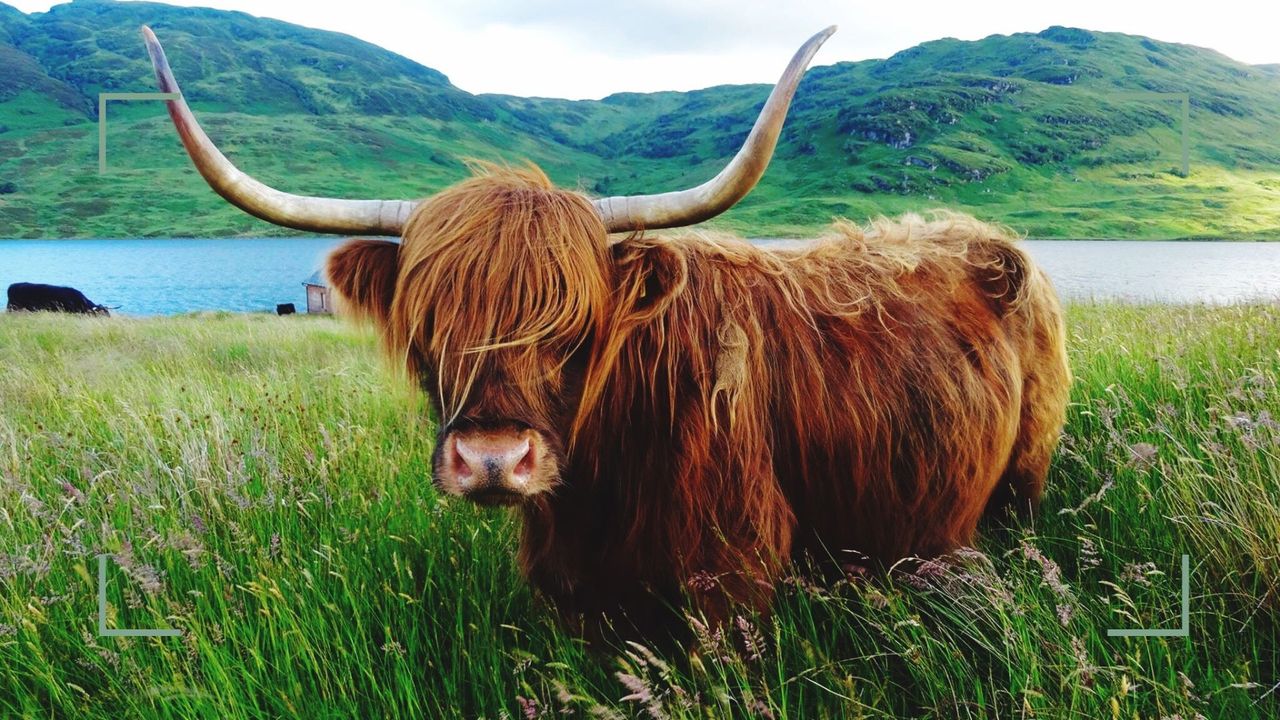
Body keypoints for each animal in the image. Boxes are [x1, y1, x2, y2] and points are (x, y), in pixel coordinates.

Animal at [140, 25, 1070, 635]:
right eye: (429, 321)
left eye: (576, 324)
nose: (491, 459)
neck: (603, 482)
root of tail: (978, 235)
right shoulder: (575, 592)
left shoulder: (729, 579)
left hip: (1022, 485)